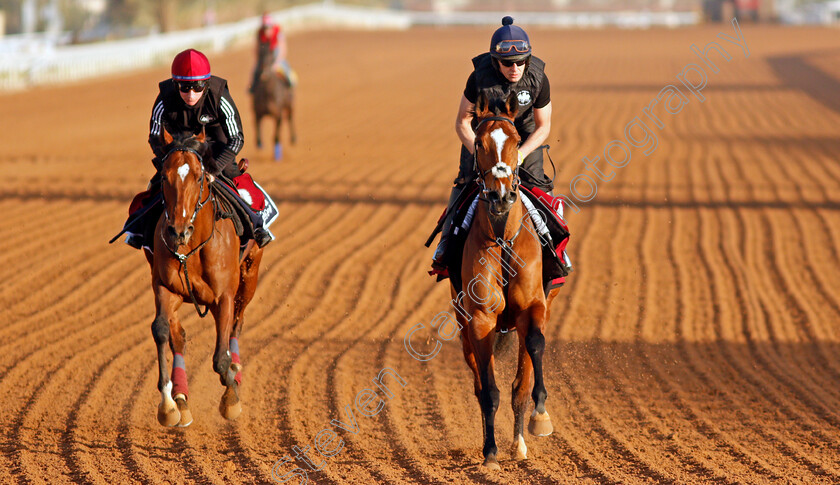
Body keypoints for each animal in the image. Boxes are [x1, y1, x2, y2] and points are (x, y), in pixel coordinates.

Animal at [149, 127, 262, 424]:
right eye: (164, 176)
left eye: (199, 176)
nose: (178, 230)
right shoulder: (166, 288)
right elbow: (161, 330)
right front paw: (168, 406)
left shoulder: (224, 296)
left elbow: (220, 358)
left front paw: (231, 398)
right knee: (178, 336)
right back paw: (181, 397)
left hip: (250, 276)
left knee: (237, 323)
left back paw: (236, 371)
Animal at [456, 91, 560, 468]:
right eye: (480, 142)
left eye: (516, 141)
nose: (501, 195)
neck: (502, 237)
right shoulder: (480, 318)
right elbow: (488, 390)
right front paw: (490, 453)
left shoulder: (534, 307)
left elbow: (534, 349)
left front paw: (539, 418)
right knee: (478, 382)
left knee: (521, 381)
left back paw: (519, 441)